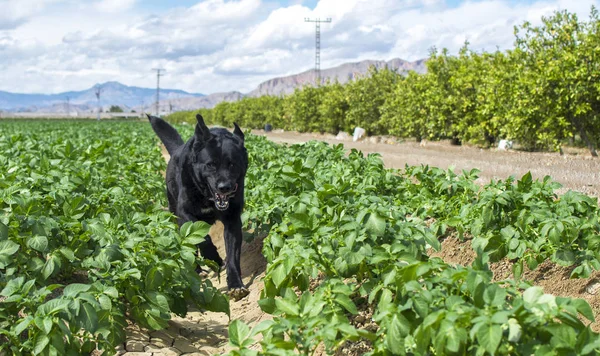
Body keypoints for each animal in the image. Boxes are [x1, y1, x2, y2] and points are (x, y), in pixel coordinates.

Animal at [149, 112, 250, 298]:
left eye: (232, 164)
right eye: (211, 165)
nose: (224, 187)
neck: (207, 196)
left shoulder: (233, 220)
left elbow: (233, 255)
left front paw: (236, 284)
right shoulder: (185, 214)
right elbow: (202, 239)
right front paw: (214, 258)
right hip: (176, 217)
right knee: (187, 245)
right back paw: (197, 269)